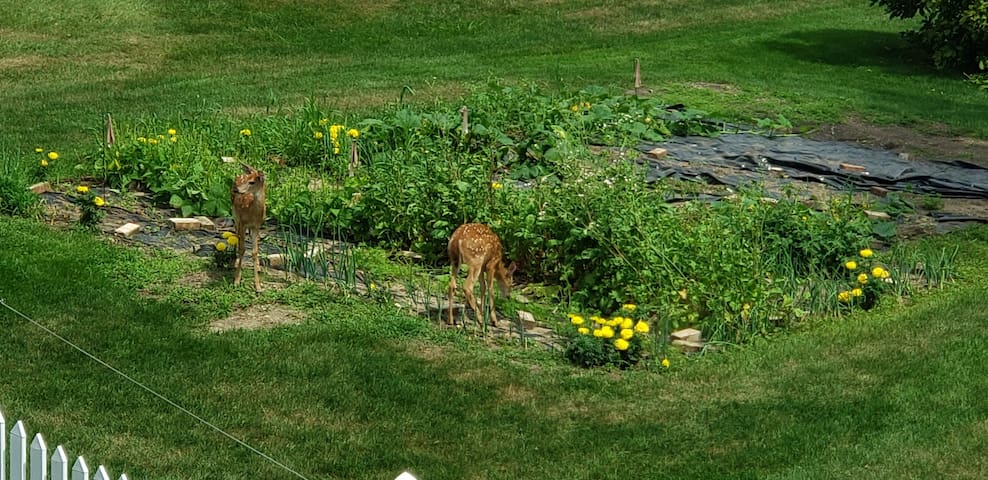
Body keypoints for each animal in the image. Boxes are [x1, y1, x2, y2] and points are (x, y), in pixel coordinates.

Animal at [230, 164, 264, 292]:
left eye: (252, 182)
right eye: (248, 180)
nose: (237, 190)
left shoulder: (256, 226)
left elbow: (254, 252)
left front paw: (258, 286)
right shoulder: (243, 223)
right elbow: (242, 249)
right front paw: (236, 281)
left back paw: (259, 267)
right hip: (235, 215)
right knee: (236, 234)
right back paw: (234, 261)